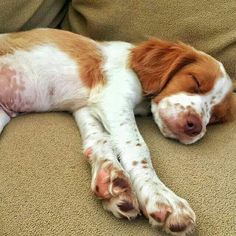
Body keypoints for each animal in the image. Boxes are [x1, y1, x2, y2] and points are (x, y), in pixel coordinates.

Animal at [0, 28, 234, 235]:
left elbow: (99, 140)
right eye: (195, 81)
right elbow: (138, 147)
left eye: (215, 117)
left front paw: (109, 177)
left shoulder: (86, 108)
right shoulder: (114, 97)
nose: (195, 125)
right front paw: (160, 195)